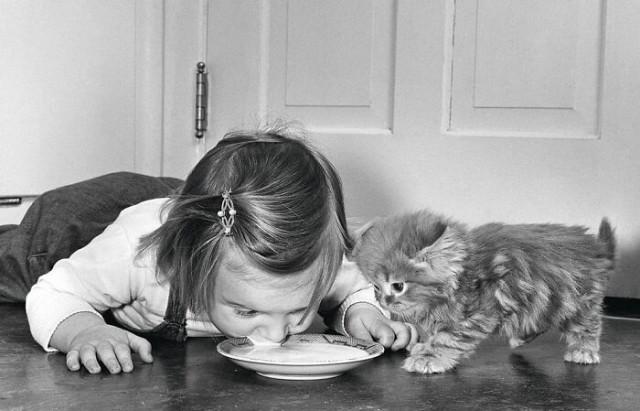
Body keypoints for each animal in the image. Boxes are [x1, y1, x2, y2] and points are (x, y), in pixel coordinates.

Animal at [351, 210, 615, 374]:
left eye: (398, 286)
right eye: (375, 287)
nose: (383, 301)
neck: (461, 276)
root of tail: (595, 247)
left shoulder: (477, 313)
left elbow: (448, 339)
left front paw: (429, 357)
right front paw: (424, 347)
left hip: (577, 298)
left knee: (587, 324)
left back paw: (583, 350)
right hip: (543, 299)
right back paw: (521, 337)